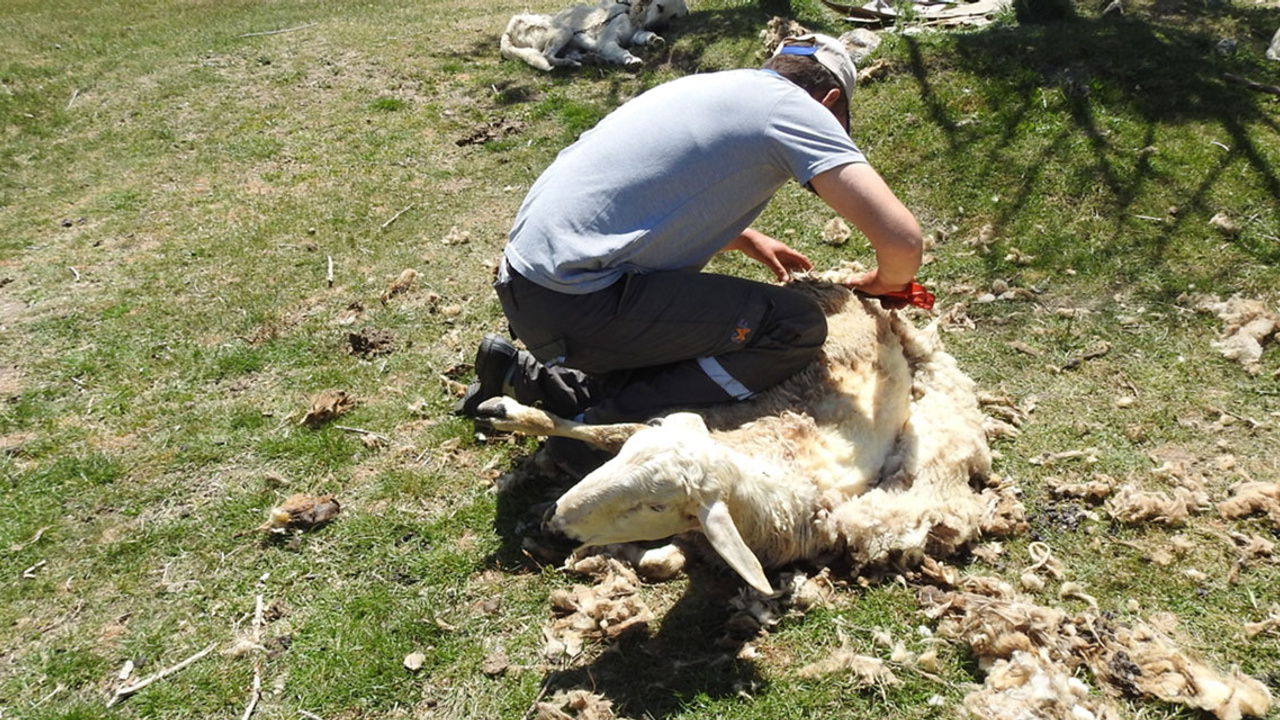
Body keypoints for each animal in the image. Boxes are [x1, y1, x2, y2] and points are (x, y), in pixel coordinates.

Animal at [481, 271, 1008, 591]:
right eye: (625, 459)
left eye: (656, 505)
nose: (554, 522)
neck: (770, 474)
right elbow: (604, 430)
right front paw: (511, 414)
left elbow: (658, 558)